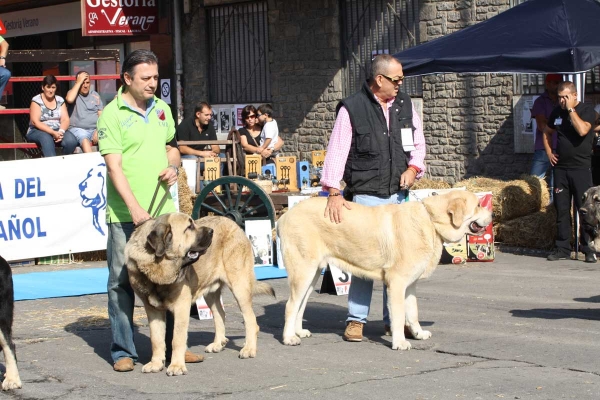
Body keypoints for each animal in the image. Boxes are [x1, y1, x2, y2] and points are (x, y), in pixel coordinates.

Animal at [127, 214, 278, 376]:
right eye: (189, 227)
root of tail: (234, 223)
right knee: (220, 314)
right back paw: (218, 343)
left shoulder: (181, 306)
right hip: (211, 293)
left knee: (251, 321)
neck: (158, 267)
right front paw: (155, 363)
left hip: (239, 287)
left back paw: (249, 348)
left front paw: (176, 366)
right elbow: (156, 339)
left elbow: (177, 339)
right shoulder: (152, 310)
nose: (211, 231)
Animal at [278, 191, 492, 350]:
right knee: (290, 305)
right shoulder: (397, 282)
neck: (431, 220)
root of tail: (285, 216)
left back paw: (299, 332)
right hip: (303, 270)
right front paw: (400, 342)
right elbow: (398, 315)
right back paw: (289, 338)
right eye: (478, 205)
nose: (492, 214)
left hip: (312, 273)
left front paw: (418, 334)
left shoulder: (410, 284)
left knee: (301, 304)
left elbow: (413, 312)